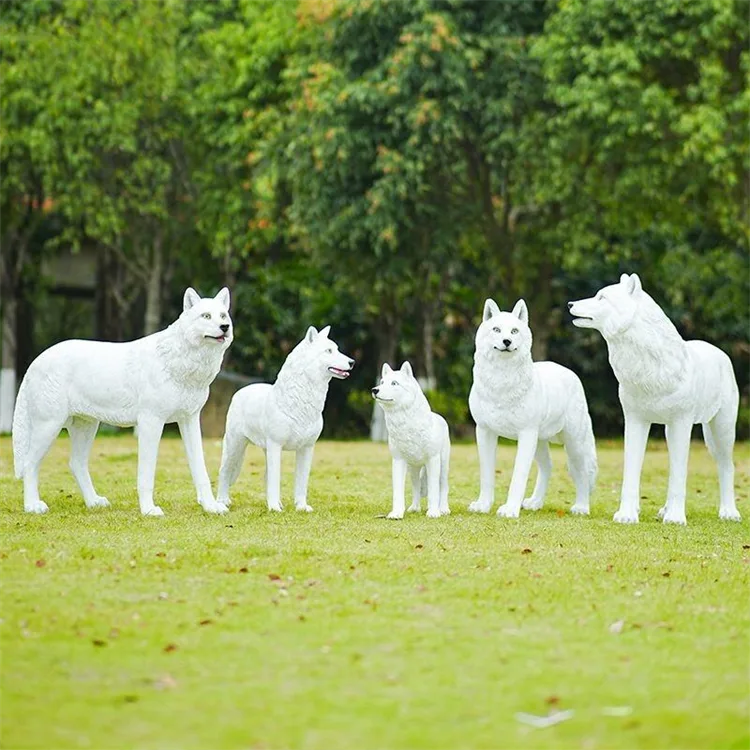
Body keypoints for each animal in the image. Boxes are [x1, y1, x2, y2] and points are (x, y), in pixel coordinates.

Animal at [12, 287, 233, 516]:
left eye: (223, 316)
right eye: (206, 316)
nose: (224, 327)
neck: (181, 359)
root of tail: (35, 362)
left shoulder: (189, 420)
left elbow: (201, 471)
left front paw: (211, 507)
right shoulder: (151, 422)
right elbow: (146, 475)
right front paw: (149, 510)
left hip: (86, 427)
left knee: (76, 464)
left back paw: (93, 502)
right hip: (49, 426)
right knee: (29, 463)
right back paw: (32, 506)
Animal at [216, 326, 354, 512]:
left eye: (337, 349)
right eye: (329, 351)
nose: (352, 362)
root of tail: (241, 391)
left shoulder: (307, 448)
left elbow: (301, 482)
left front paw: (301, 507)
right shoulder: (276, 445)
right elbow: (276, 480)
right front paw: (274, 509)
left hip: (263, 449)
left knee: (266, 476)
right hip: (235, 445)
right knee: (224, 472)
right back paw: (222, 501)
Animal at [371, 362, 450, 519]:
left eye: (394, 383)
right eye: (382, 382)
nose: (375, 390)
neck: (406, 424)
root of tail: (440, 417)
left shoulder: (433, 460)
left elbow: (433, 490)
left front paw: (433, 512)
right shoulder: (398, 461)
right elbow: (398, 491)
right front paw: (396, 514)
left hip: (443, 466)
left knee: (444, 487)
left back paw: (443, 509)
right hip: (413, 469)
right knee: (416, 488)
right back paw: (415, 508)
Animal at [468, 299, 597, 518]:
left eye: (514, 331)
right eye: (496, 329)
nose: (506, 342)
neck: (501, 381)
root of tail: (569, 372)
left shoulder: (526, 434)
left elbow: (518, 476)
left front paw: (510, 510)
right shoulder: (484, 432)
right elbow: (486, 475)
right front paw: (483, 506)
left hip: (573, 443)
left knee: (582, 473)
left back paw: (581, 507)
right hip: (541, 442)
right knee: (548, 467)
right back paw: (535, 502)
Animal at [569, 273, 741, 525]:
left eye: (602, 297)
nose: (570, 304)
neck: (649, 369)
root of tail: (720, 352)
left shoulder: (681, 423)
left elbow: (680, 476)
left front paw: (676, 519)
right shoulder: (635, 421)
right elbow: (631, 471)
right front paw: (627, 515)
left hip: (722, 429)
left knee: (727, 466)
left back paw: (729, 512)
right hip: (670, 431)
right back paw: (664, 510)